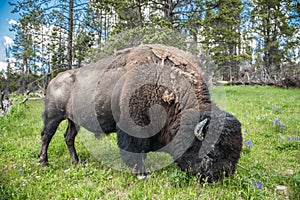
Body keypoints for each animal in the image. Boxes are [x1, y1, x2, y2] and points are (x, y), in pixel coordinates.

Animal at [39, 44, 241, 182]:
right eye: (211, 153)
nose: (221, 177)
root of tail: (53, 80)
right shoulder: (134, 127)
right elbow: (134, 149)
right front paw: (141, 173)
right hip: (53, 117)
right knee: (46, 136)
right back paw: (43, 162)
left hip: (73, 121)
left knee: (68, 137)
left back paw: (76, 161)